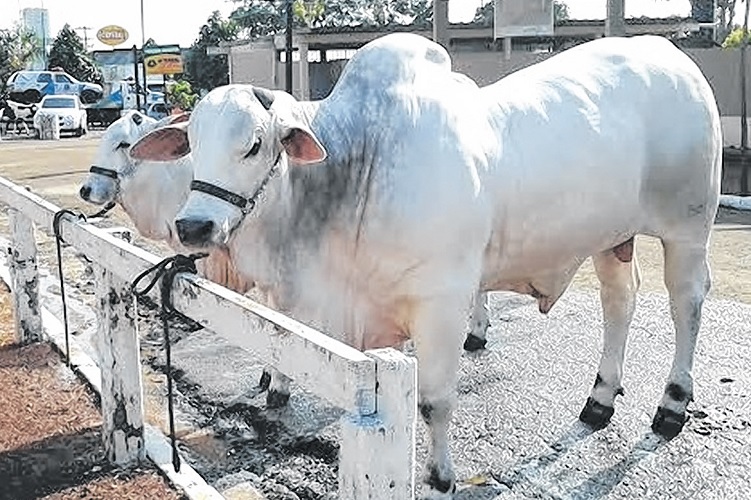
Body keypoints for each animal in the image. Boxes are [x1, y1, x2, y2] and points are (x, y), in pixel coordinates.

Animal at [129, 33, 724, 494]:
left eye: (254, 144)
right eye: (191, 141)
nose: (194, 227)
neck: (358, 169)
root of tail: (672, 54)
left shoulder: (441, 305)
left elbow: (435, 402)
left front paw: (441, 478)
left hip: (688, 227)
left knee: (686, 303)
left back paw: (672, 405)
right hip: (613, 238)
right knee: (619, 301)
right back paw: (599, 399)